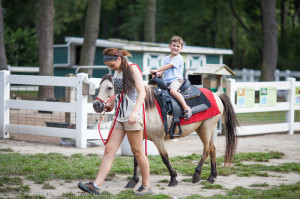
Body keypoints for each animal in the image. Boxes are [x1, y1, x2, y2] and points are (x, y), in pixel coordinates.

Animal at [92, 74, 238, 188]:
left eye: (109, 87)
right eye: (99, 86)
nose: (96, 105)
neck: (145, 107)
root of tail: (216, 95)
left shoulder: (158, 139)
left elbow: (165, 158)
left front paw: (173, 178)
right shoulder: (139, 136)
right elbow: (137, 158)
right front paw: (133, 181)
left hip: (206, 128)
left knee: (207, 149)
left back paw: (197, 175)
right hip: (202, 129)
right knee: (212, 149)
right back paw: (212, 176)